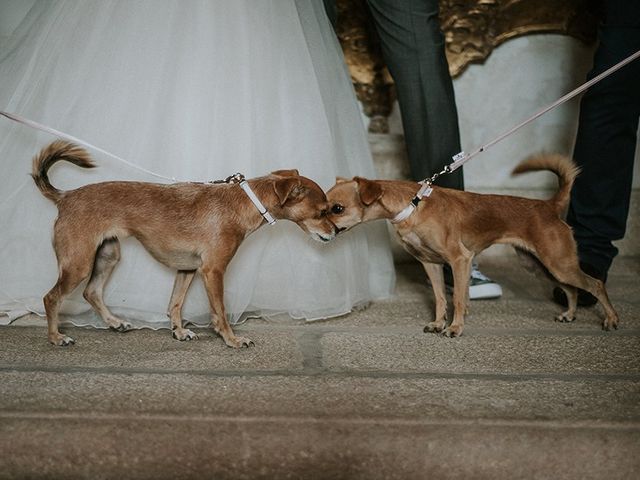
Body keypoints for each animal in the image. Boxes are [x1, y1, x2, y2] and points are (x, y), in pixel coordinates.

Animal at [31, 141, 336, 346]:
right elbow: (220, 310)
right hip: (79, 263)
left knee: (91, 292)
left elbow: (175, 303)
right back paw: (56, 337)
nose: (336, 231)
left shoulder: (187, 269)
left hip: (108, 254)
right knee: (52, 297)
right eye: (323, 212)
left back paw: (115, 323)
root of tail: (66, 197)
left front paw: (178, 331)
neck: (244, 202)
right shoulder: (213, 271)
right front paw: (232, 339)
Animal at [328, 155, 616, 338]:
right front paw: (438, 323)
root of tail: (548, 206)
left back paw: (611, 319)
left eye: (337, 209)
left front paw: (455, 328)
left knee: (595, 284)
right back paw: (569, 314)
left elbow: (457, 297)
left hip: (559, 263)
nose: (321, 229)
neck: (413, 204)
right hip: (541, 266)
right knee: (571, 289)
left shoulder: (460, 260)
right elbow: (440, 298)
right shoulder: (431, 264)